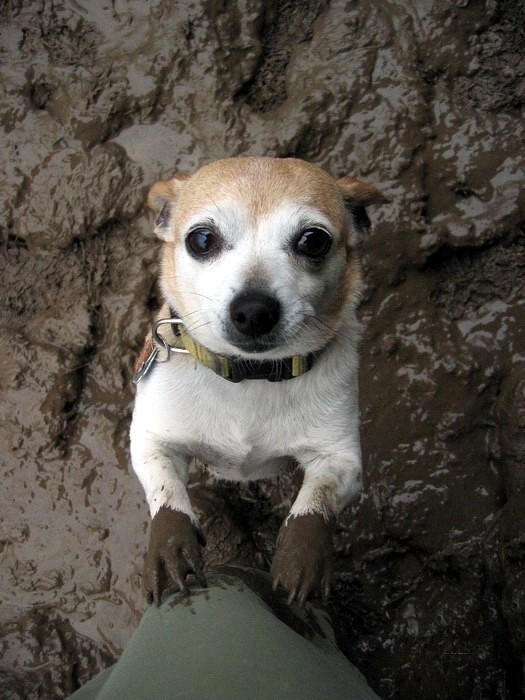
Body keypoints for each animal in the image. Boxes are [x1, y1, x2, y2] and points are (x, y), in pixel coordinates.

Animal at [129, 156, 386, 604]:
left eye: (313, 241)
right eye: (201, 239)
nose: (253, 310)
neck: (251, 375)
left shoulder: (341, 460)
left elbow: (315, 502)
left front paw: (301, 556)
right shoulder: (150, 441)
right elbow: (166, 492)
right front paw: (169, 545)